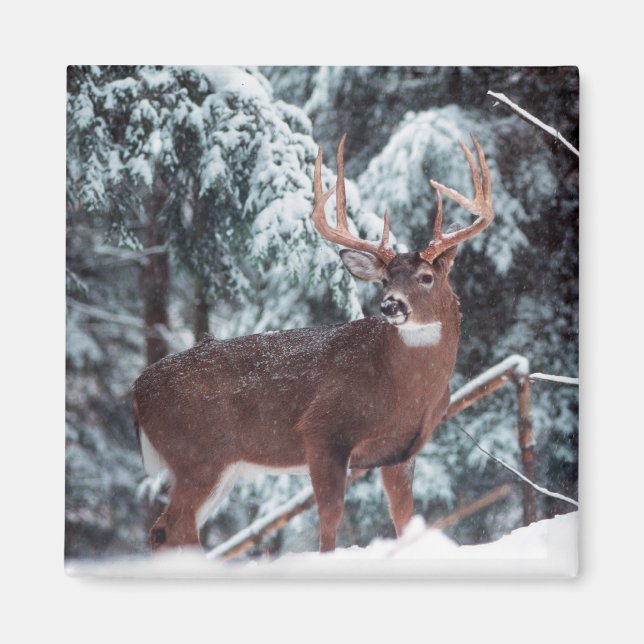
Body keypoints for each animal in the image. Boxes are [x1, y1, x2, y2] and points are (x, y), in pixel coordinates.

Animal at [132, 133, 494, 554]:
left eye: (426, 277)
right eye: (385, 280)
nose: (391, 305)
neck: (403, 389)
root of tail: (137, 389)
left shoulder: (402, 450)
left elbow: (404, 518)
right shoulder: (323, 430)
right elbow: (330, 518)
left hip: (216, 465)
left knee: (165, 529)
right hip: (197, 454)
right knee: (176, 527)